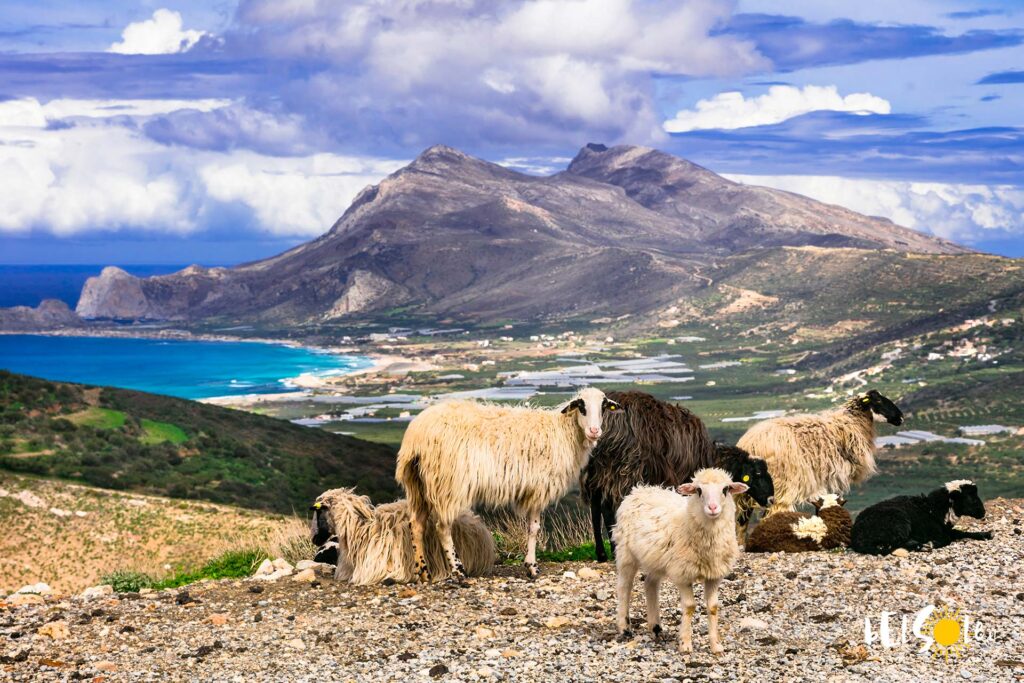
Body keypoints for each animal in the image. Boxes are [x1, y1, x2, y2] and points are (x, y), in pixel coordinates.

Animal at [610, 466, 749, 655]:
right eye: (699, 490)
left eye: (725, 489)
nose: (713, 508)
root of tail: (639, 489)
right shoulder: (682, 573)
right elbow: (689, 606)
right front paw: (685, 644)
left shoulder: (714, 575)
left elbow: (713, 607)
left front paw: (716, 646)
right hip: (626, 553)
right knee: (624, 587)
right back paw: (624, 627)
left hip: (655, 560)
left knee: (650, 584)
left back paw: (655, 627)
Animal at [851, 481, 995, 557]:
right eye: (971, 498)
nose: (983, 512)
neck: (933, 508)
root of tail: (857, 536)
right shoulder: (937, 531)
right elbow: (948, 539)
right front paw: (932, 543)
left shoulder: (945, 529)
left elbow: (962, 533)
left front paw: (986, 534)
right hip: (899, 523)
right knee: (896, 543)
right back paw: (922, 545)